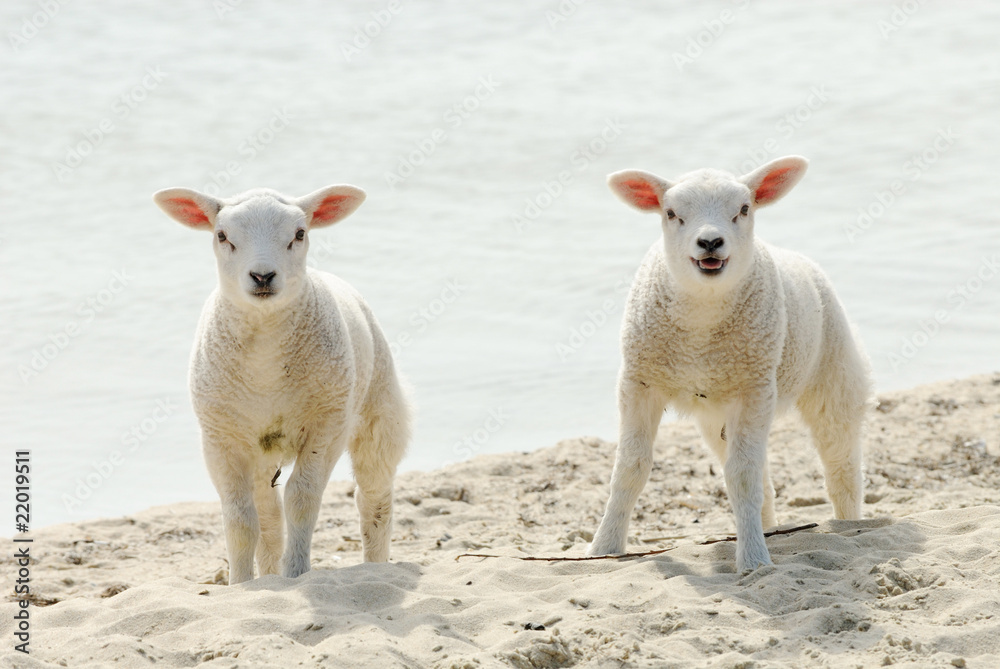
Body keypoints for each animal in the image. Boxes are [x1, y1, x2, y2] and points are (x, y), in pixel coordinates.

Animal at [152, 184, 410, 584]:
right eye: (222, 236)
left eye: (299, 234)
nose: (262, 276)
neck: (266, 364)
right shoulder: (220, 438)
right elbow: (240, 518)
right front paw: (241, 583)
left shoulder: (327, 425)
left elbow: (302, 500)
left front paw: (297, 572)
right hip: (259, 448)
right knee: (268, 514)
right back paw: (268, 574)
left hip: (378, 412)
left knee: (373, 496)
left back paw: (375, 567)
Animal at [588, 157, 872, 568]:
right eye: (671, 213)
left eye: (744, 209)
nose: (710, 242)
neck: (700, 327)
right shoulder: (639, 381)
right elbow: (630, 469)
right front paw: (604, 548)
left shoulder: (754, 388)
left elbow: (741, 478)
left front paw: (753, 561)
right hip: (719, 412)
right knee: (758, 472)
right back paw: (768, 528)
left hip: (833, 375)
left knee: (840, 458)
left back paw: (849, 523)